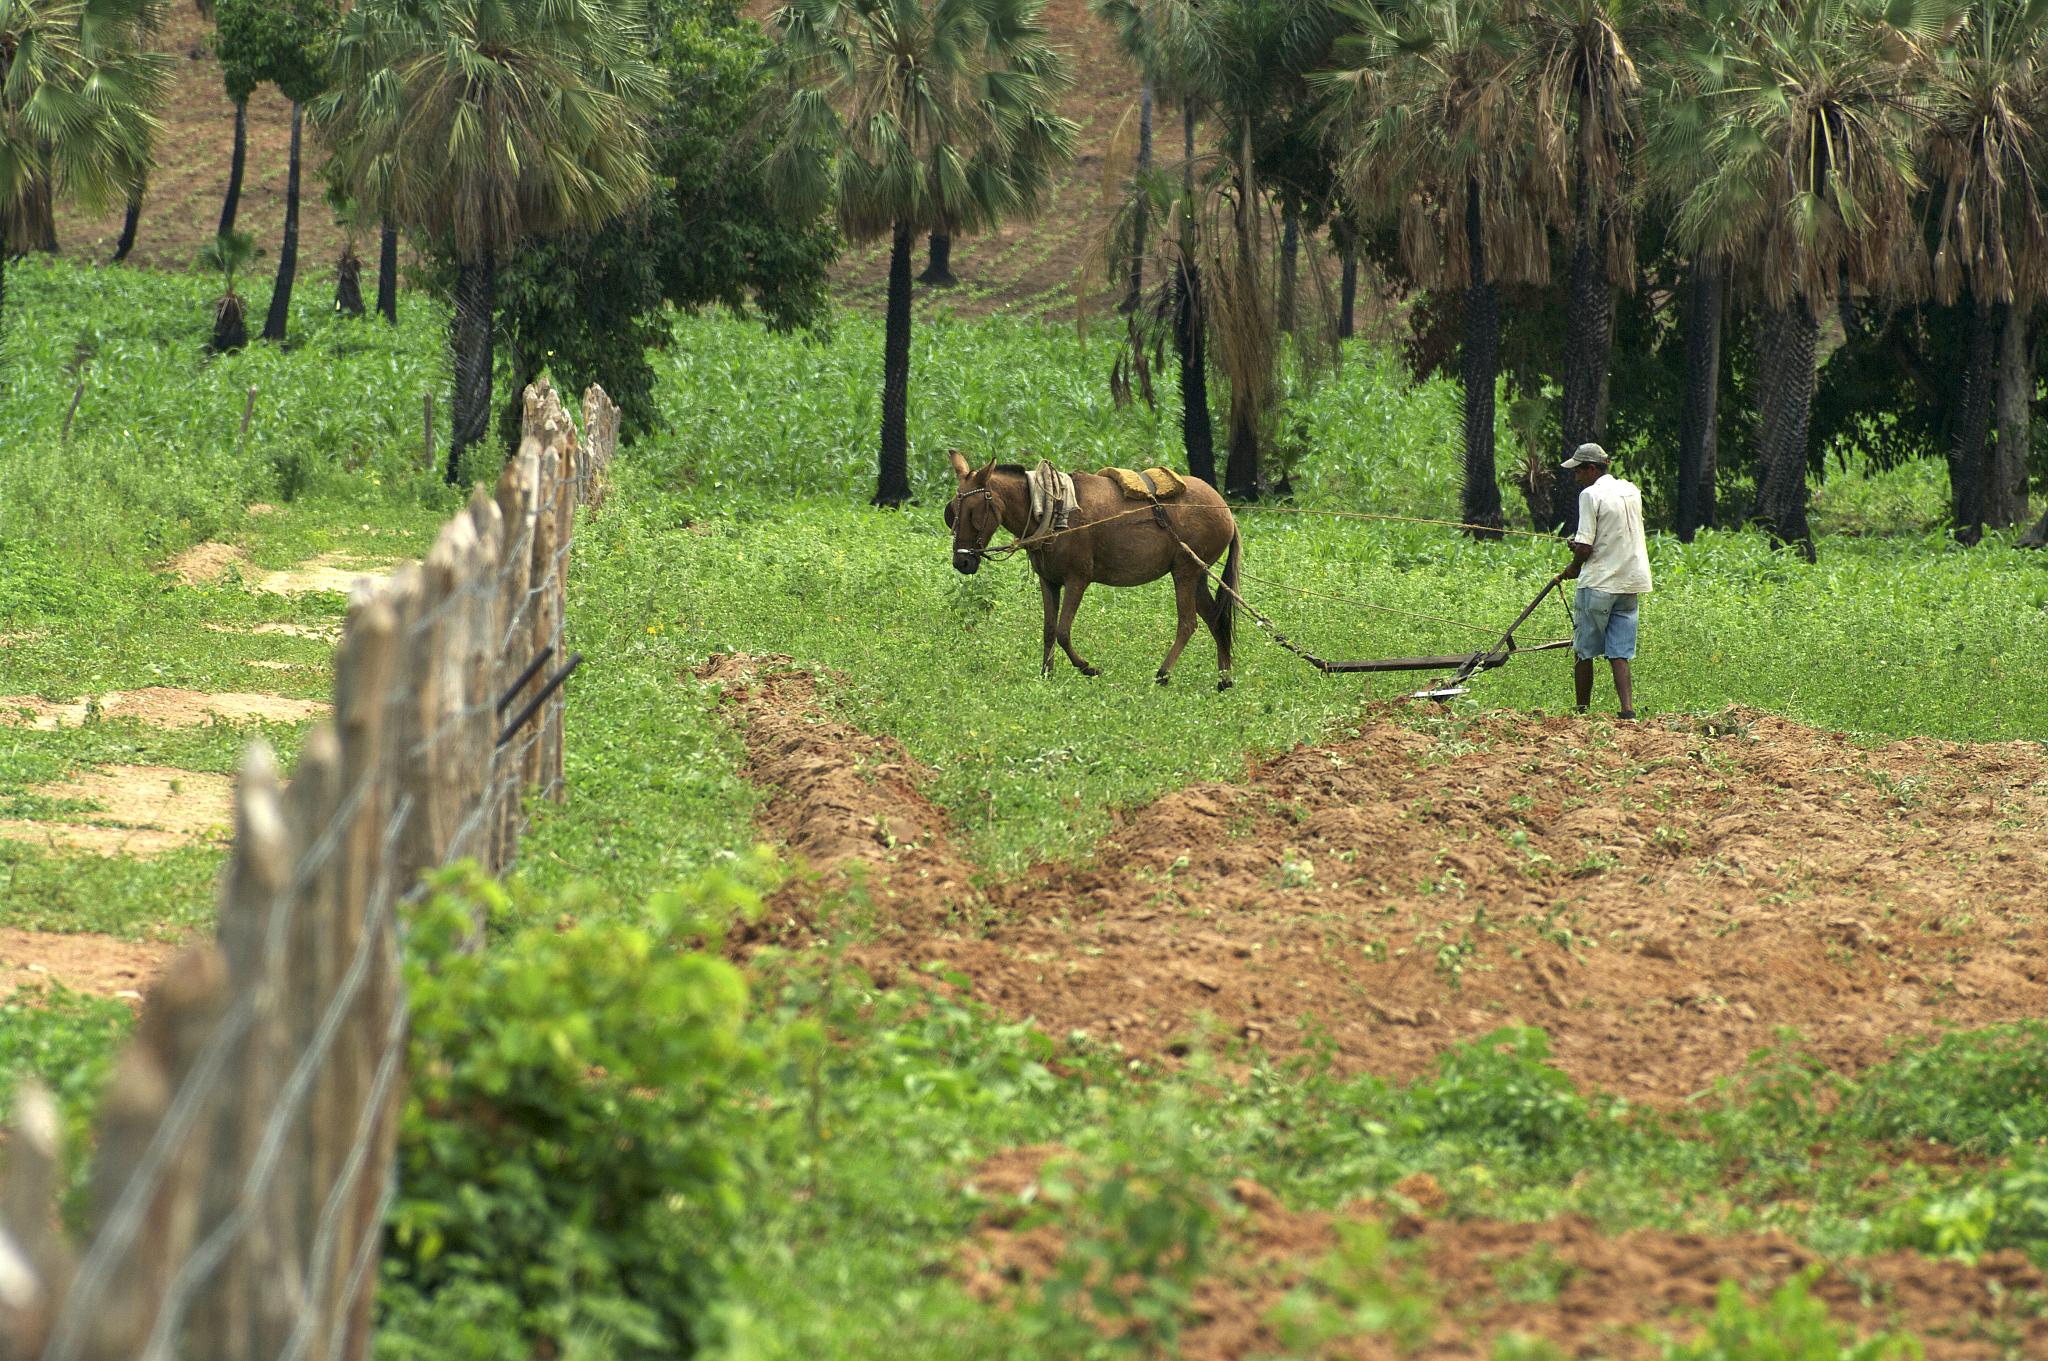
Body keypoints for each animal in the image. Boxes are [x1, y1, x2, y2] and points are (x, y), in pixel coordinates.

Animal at [946, 450, 1245, 691]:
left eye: (973, 511)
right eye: (951, 512)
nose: (961, 562)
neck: (1052, 509)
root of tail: (1226, 512)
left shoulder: (1077, 579)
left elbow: (1063, 631)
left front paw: (1089, 667)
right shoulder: (1048, 580)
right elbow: (1048, 629)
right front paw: (1046, 675)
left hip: (1185, 570)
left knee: (1188, 623)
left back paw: (1163, 675)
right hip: (1199, 575)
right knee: (1216, 620)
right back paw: (1225, 680)